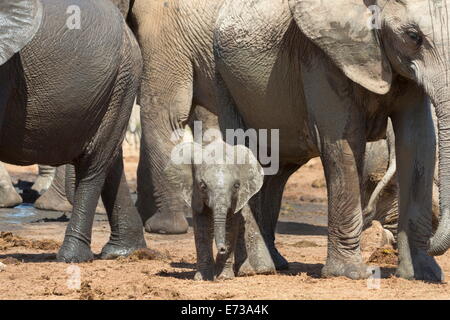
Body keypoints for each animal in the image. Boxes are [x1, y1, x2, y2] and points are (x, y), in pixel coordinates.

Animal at [0, 0, 144, 262]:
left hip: (123, 79)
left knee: (93, 164)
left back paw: (72, 257)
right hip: (118, 85)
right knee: (110, 160)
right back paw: (123, 252)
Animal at [167, 126, 276, 282]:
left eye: (236, 186)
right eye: (203, 186)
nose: (222, 248)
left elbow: (230, 226)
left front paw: (224, 277)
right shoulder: (195, 196)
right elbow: (202, 227)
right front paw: (203, 278)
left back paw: (249, 272)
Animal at [214, 0, 450, 280]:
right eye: (413, 37)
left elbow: (419, 141)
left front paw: (423, 274)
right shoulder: (321, 56)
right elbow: (344, 141)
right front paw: (350, 274)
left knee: (275, 172)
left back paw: (274, 263)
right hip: (224, 83)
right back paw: (257, 269)